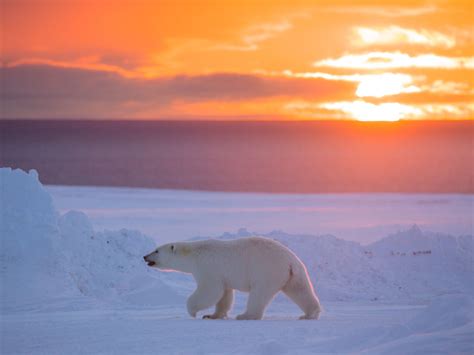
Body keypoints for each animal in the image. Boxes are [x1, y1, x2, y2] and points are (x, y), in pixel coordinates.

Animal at [143, 238, 322, 322]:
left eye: (156, 250)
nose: (145, 256)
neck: (193, 254)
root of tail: (291, 261)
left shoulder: (208, 267)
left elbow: (210, 290)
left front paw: (192, 311)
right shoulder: (222, 275)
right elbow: (224, 294)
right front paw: (212, 315)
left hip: (266, 270)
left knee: (259, 294)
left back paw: (245, 315)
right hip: (294, 275)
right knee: (300, 290)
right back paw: (309, 314)